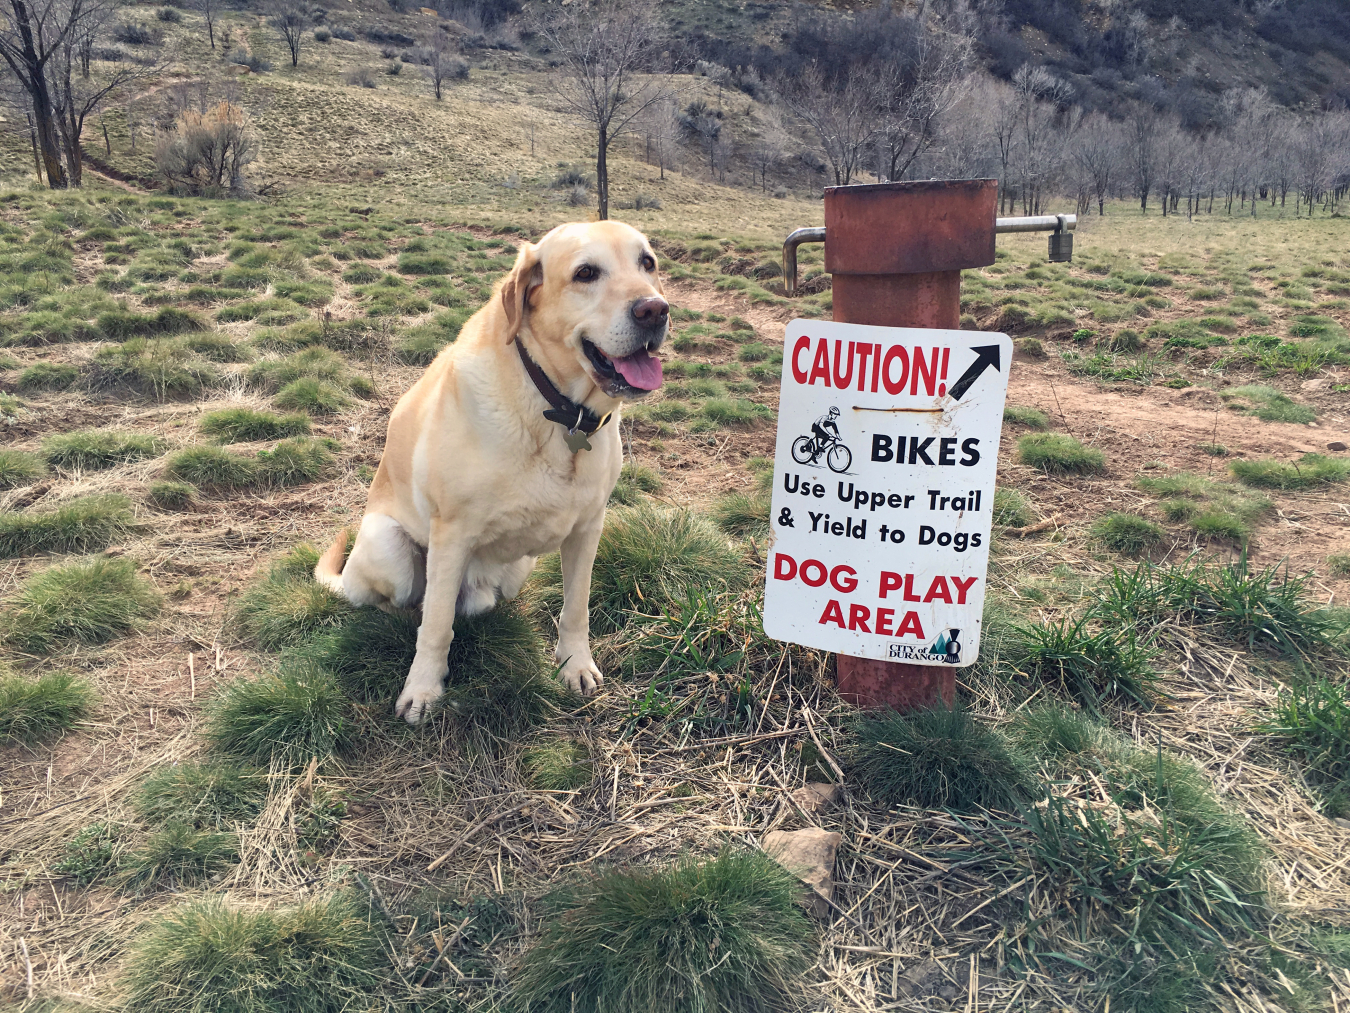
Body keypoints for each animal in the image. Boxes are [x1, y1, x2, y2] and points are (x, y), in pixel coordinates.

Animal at [317, 225, 675, 723]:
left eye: (647, 263)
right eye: (586, 273)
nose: (654, 310)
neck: (559, 412)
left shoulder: (588, 528)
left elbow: (577, 606)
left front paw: (574, 664)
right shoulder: (452, 533)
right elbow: (436, 627)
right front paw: (422, 689)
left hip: (514, 572)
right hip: (389, 547)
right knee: (408, 605)